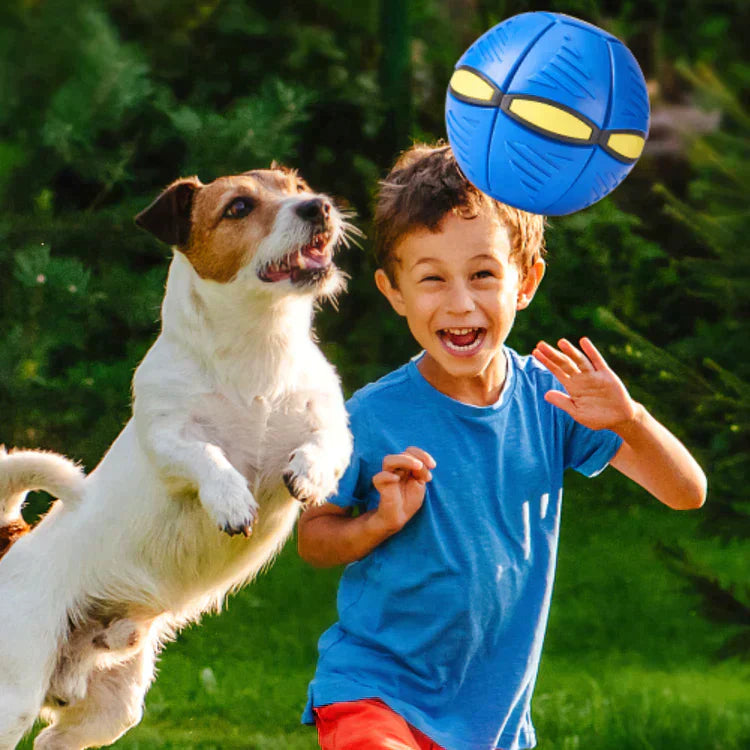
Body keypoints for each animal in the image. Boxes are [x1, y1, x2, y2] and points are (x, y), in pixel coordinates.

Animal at [0, 167, 356, 748]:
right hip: (14, 691)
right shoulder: (169, 438)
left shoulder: (329, 424)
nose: (319, 207)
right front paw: (231, 501)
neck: (258, 351)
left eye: (296, 187)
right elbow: (207, 456)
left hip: (111, 705)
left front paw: (309, 474)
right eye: (238, 207)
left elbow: (324, 445)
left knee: (55, 739)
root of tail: (13, 540)